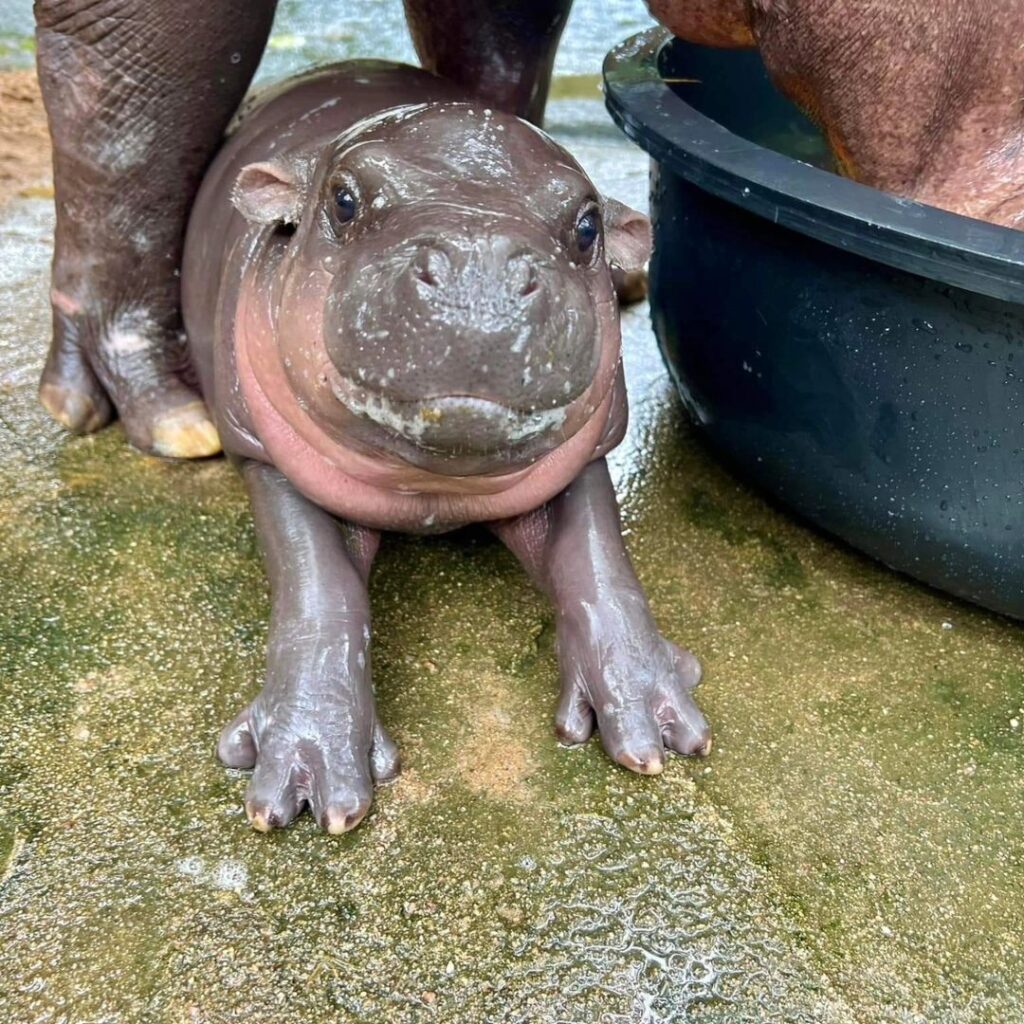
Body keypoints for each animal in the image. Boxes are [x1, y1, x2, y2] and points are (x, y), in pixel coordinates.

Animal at [182, 61, 712, 831]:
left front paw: (655, 722)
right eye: (343, 200)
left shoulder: (583, 454)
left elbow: (597, 558)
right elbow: (319, 586)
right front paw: (307, 779)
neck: (434, 489)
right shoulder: (265, 454)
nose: (479, 270)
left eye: (587, 227)